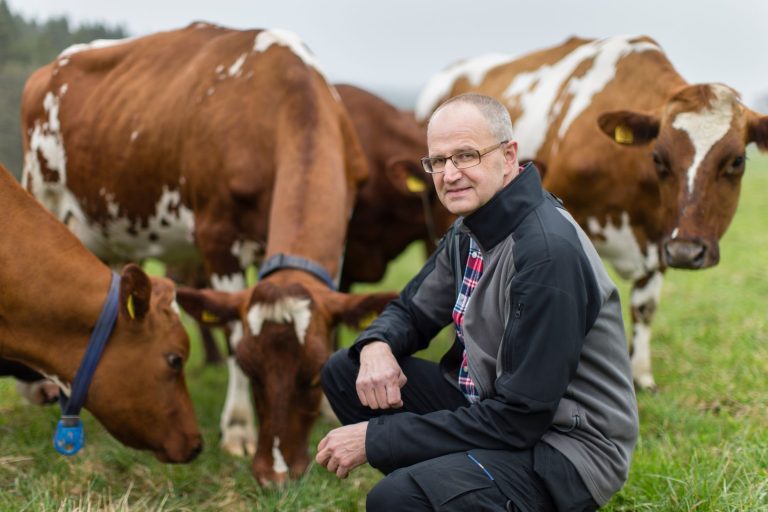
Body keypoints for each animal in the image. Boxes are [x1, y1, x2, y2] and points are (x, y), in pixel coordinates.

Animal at [414, 35, 768, 388]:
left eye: (736, 160)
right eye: (658, 158)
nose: (686, 252)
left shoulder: (663, 236)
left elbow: (645, 307)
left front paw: (641, 375)